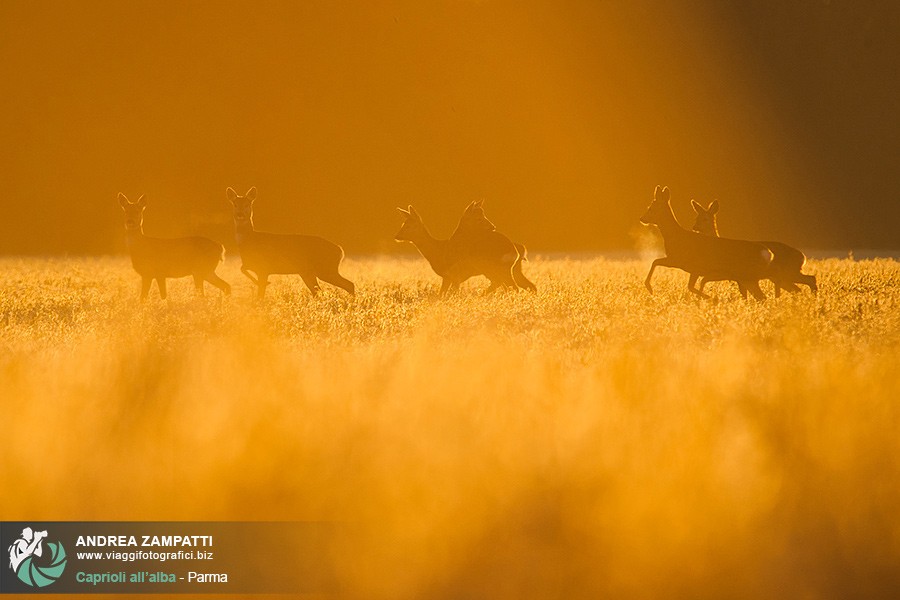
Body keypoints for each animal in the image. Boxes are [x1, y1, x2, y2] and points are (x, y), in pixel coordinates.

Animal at [224, 185, 352, 298]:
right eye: (235, 204)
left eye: (247, 204)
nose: (240, 214)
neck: (250, 240)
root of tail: (340, 250)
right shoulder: (254, 266)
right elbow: (242, 268)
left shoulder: (264, 268)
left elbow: (260, 294)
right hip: (309, 272)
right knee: (318, 291)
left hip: (325, 269)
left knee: (349, 284)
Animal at [640, 185, 772, 300]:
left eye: (651, 208)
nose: (642, 219)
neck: (676, 237)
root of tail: (767, 253)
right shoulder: (686, 266)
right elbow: (658, 263)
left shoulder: (681, 262)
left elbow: (656, 262)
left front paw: (649, 288)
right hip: (747, 278)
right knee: (760, 297)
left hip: (746, 277)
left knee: (761, 297)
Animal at [688, 200, 816, 296]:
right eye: (696, 218)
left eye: (705, 219)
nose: (695, 228)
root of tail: (803, 257)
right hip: (783, 277)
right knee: (798, 288)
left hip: (789, 272)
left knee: (810, 280)